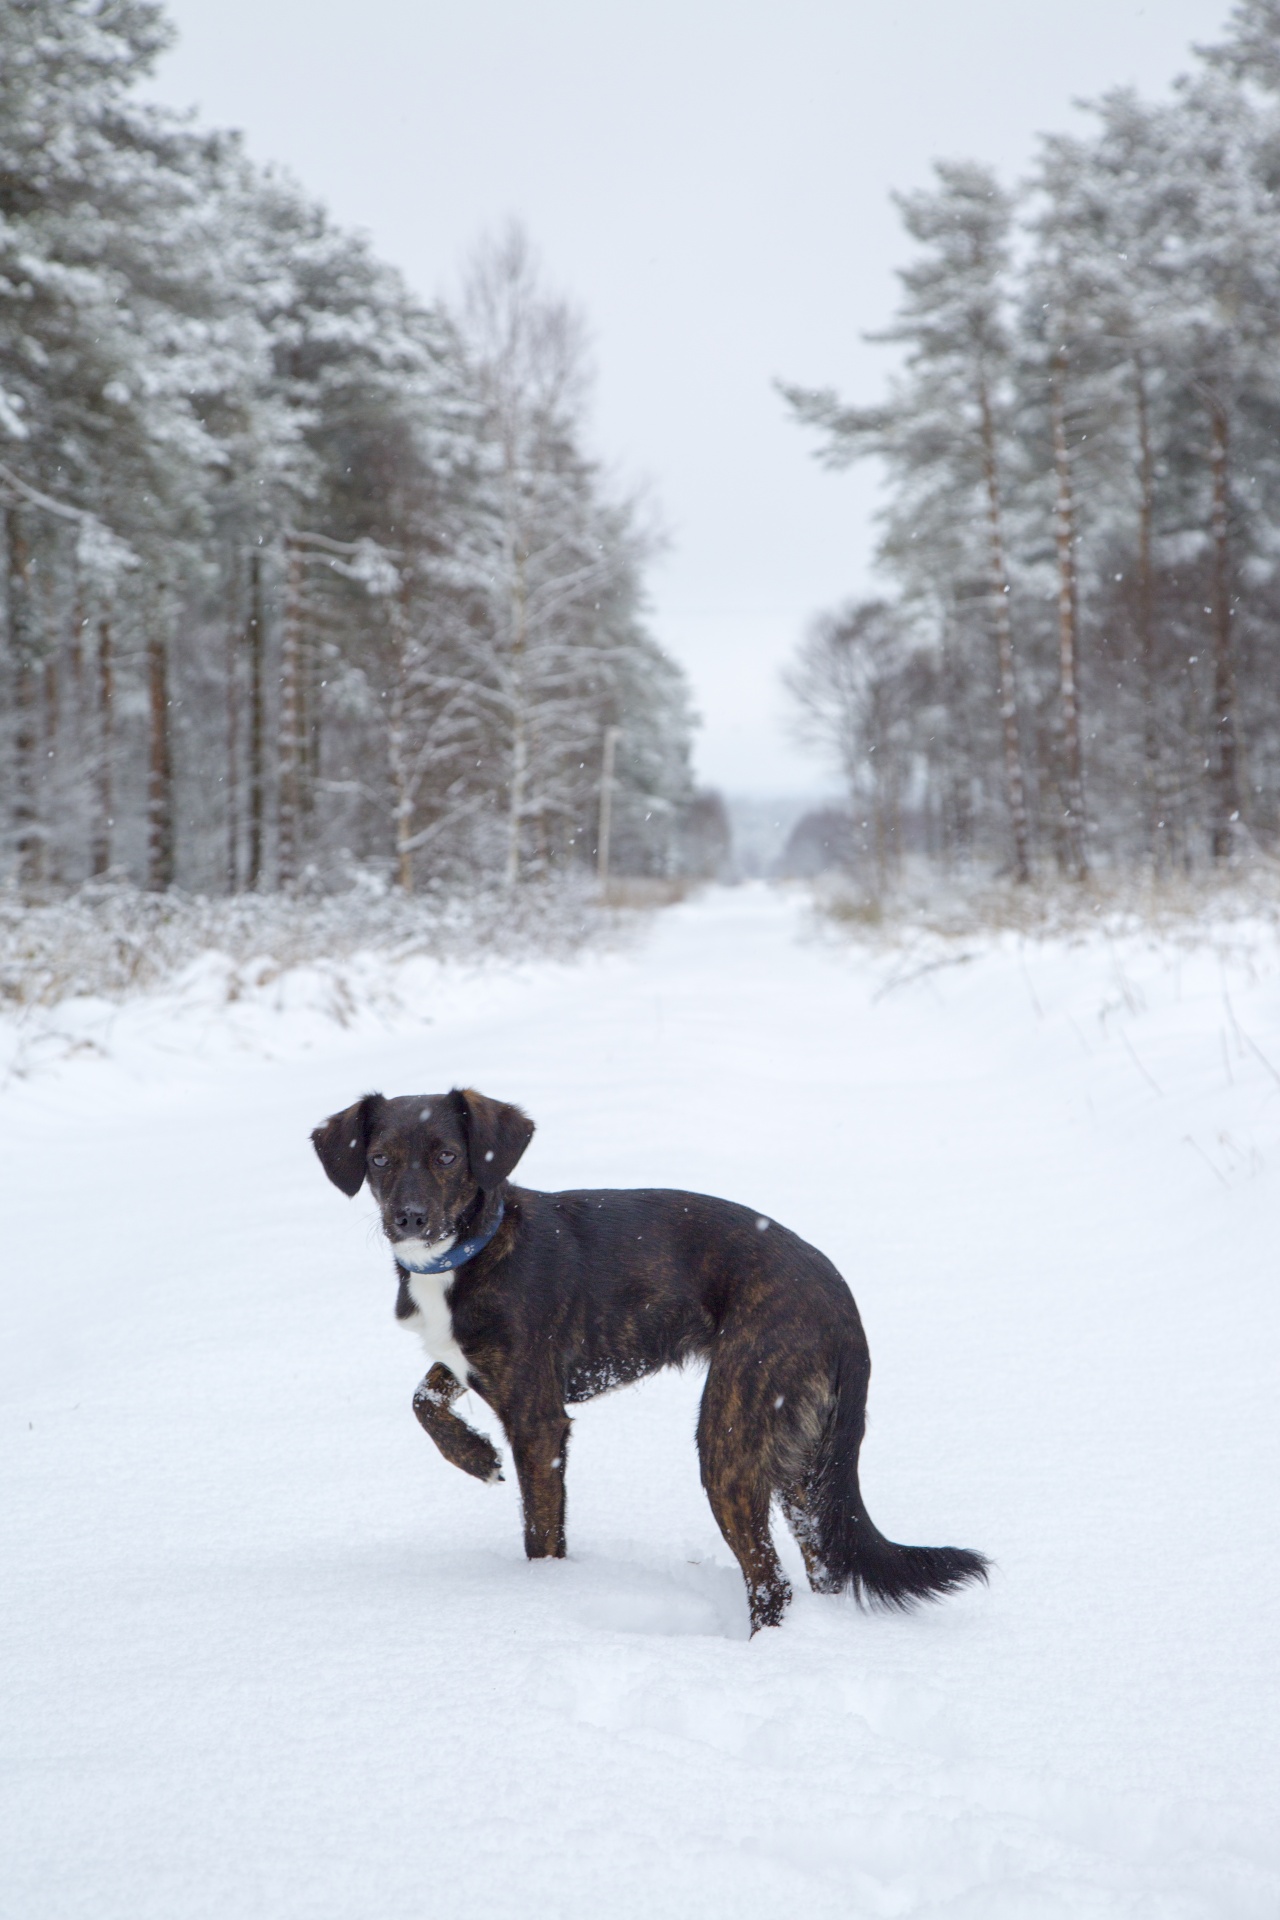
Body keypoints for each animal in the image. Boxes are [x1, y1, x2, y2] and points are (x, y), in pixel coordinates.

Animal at [312, 1090, 990, 1628]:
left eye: (449, 1156)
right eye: (379, 1159)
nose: (409, 1218)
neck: (470, 1250)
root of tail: (843, 1302)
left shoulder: (538, 1419)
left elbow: (540, 1530)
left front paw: (540, 1594)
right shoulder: (471, 1365)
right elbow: (423, 1397)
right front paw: (475, 1456)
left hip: (730, 1434)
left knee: (770, 1581)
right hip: (801, 1457)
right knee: (821, 1561)